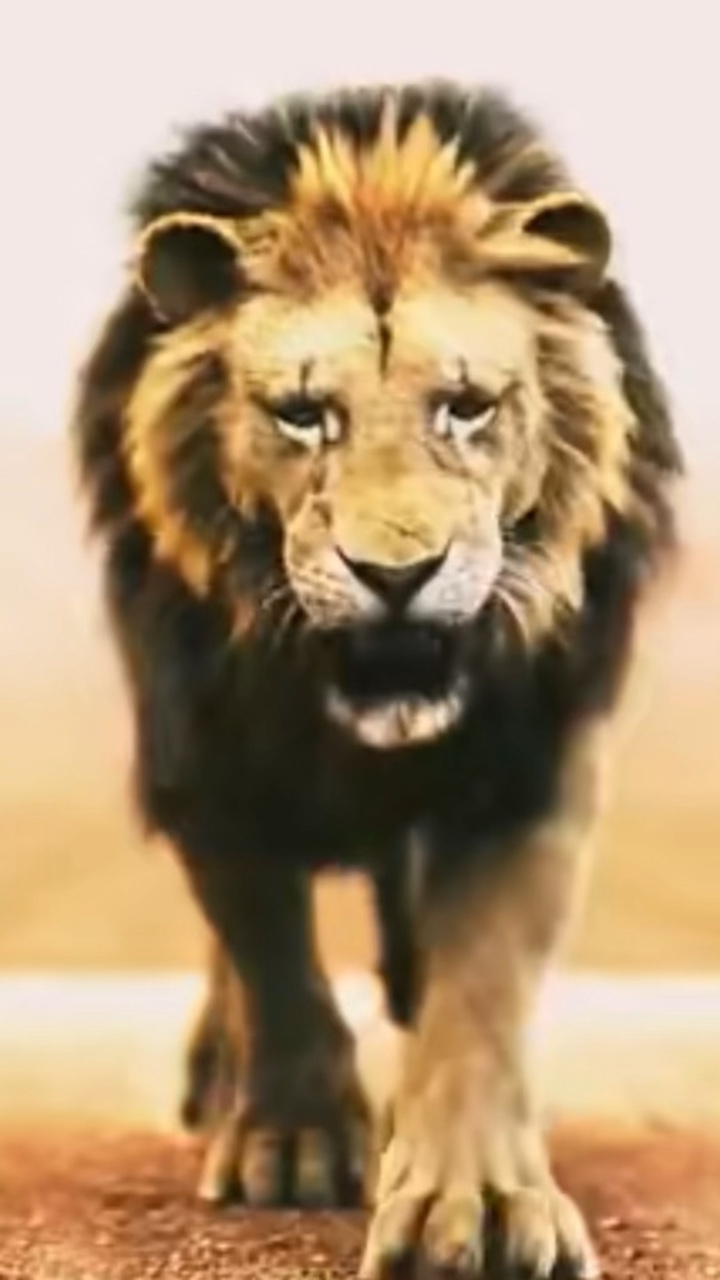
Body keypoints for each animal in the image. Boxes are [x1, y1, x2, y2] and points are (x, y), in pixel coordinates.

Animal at [70, 81, 682, 1278]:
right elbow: (267, 945)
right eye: (303, 414)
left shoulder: (522, 766)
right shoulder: (206, 744)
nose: (396, 576)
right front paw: (298, 1139)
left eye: (468, 405)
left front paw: (479, 1199)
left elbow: (481, 984)